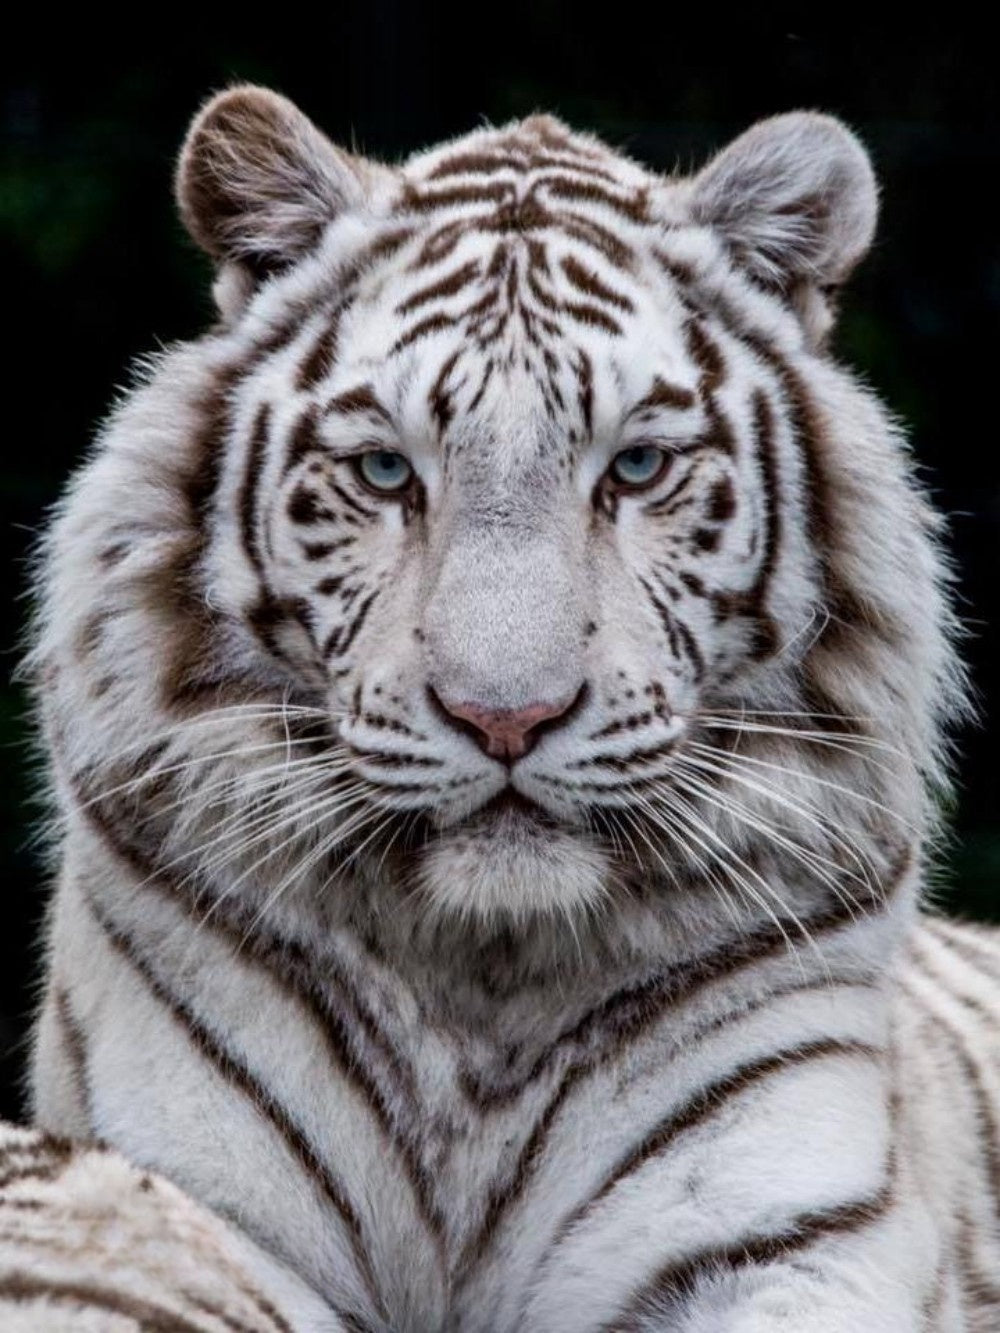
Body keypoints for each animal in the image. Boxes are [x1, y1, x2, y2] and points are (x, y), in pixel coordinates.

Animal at [6, 83, 998, 1330]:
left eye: (637, 469)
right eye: (385, 472)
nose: (506, 718)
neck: (483, 991)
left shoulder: (783, 1233)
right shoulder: (184, 1193)